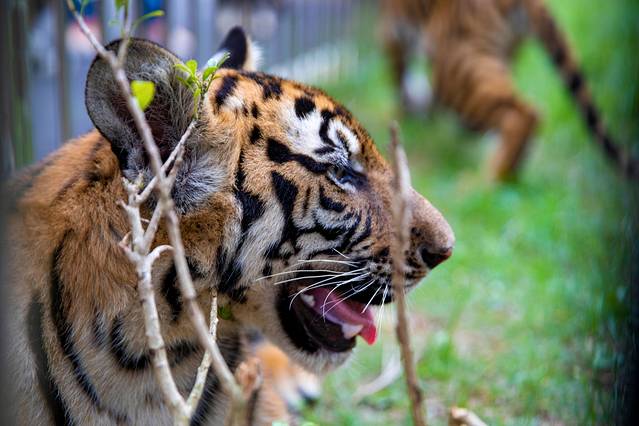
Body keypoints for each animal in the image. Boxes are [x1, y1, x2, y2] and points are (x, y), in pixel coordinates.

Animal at [380, 0, 638, 180]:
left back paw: (483, 181)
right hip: (499, 54)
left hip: (454, 65)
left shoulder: (391, 32)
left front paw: (405, 114)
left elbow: (398, 75)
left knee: (524, 113)